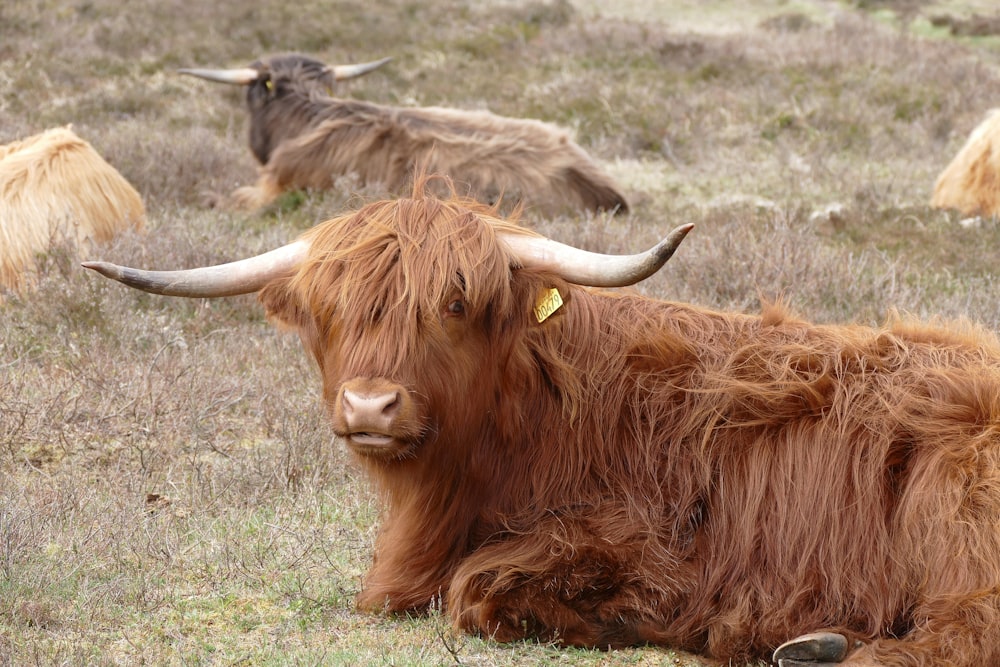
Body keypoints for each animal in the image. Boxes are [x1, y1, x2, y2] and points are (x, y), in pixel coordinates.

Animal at [84, 180, 1000, 664]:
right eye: (329, 310)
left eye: (453, 304)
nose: (370, 404)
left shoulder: (642, 542)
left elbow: (474, 586)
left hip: (956, 515)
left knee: (963, 629)